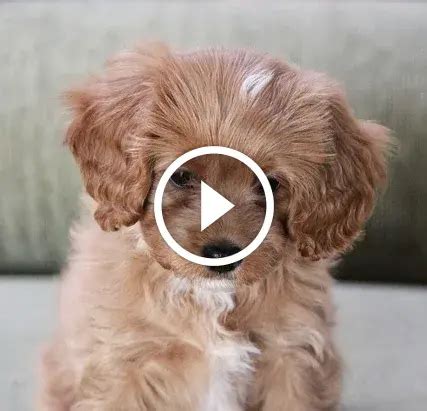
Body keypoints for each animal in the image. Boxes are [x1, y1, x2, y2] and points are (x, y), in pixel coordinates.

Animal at [39, 43, 391, 410]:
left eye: (270, 183)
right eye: (181, 176)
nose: (222, 253)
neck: (210, 297)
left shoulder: (293, 356)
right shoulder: (122, 362)